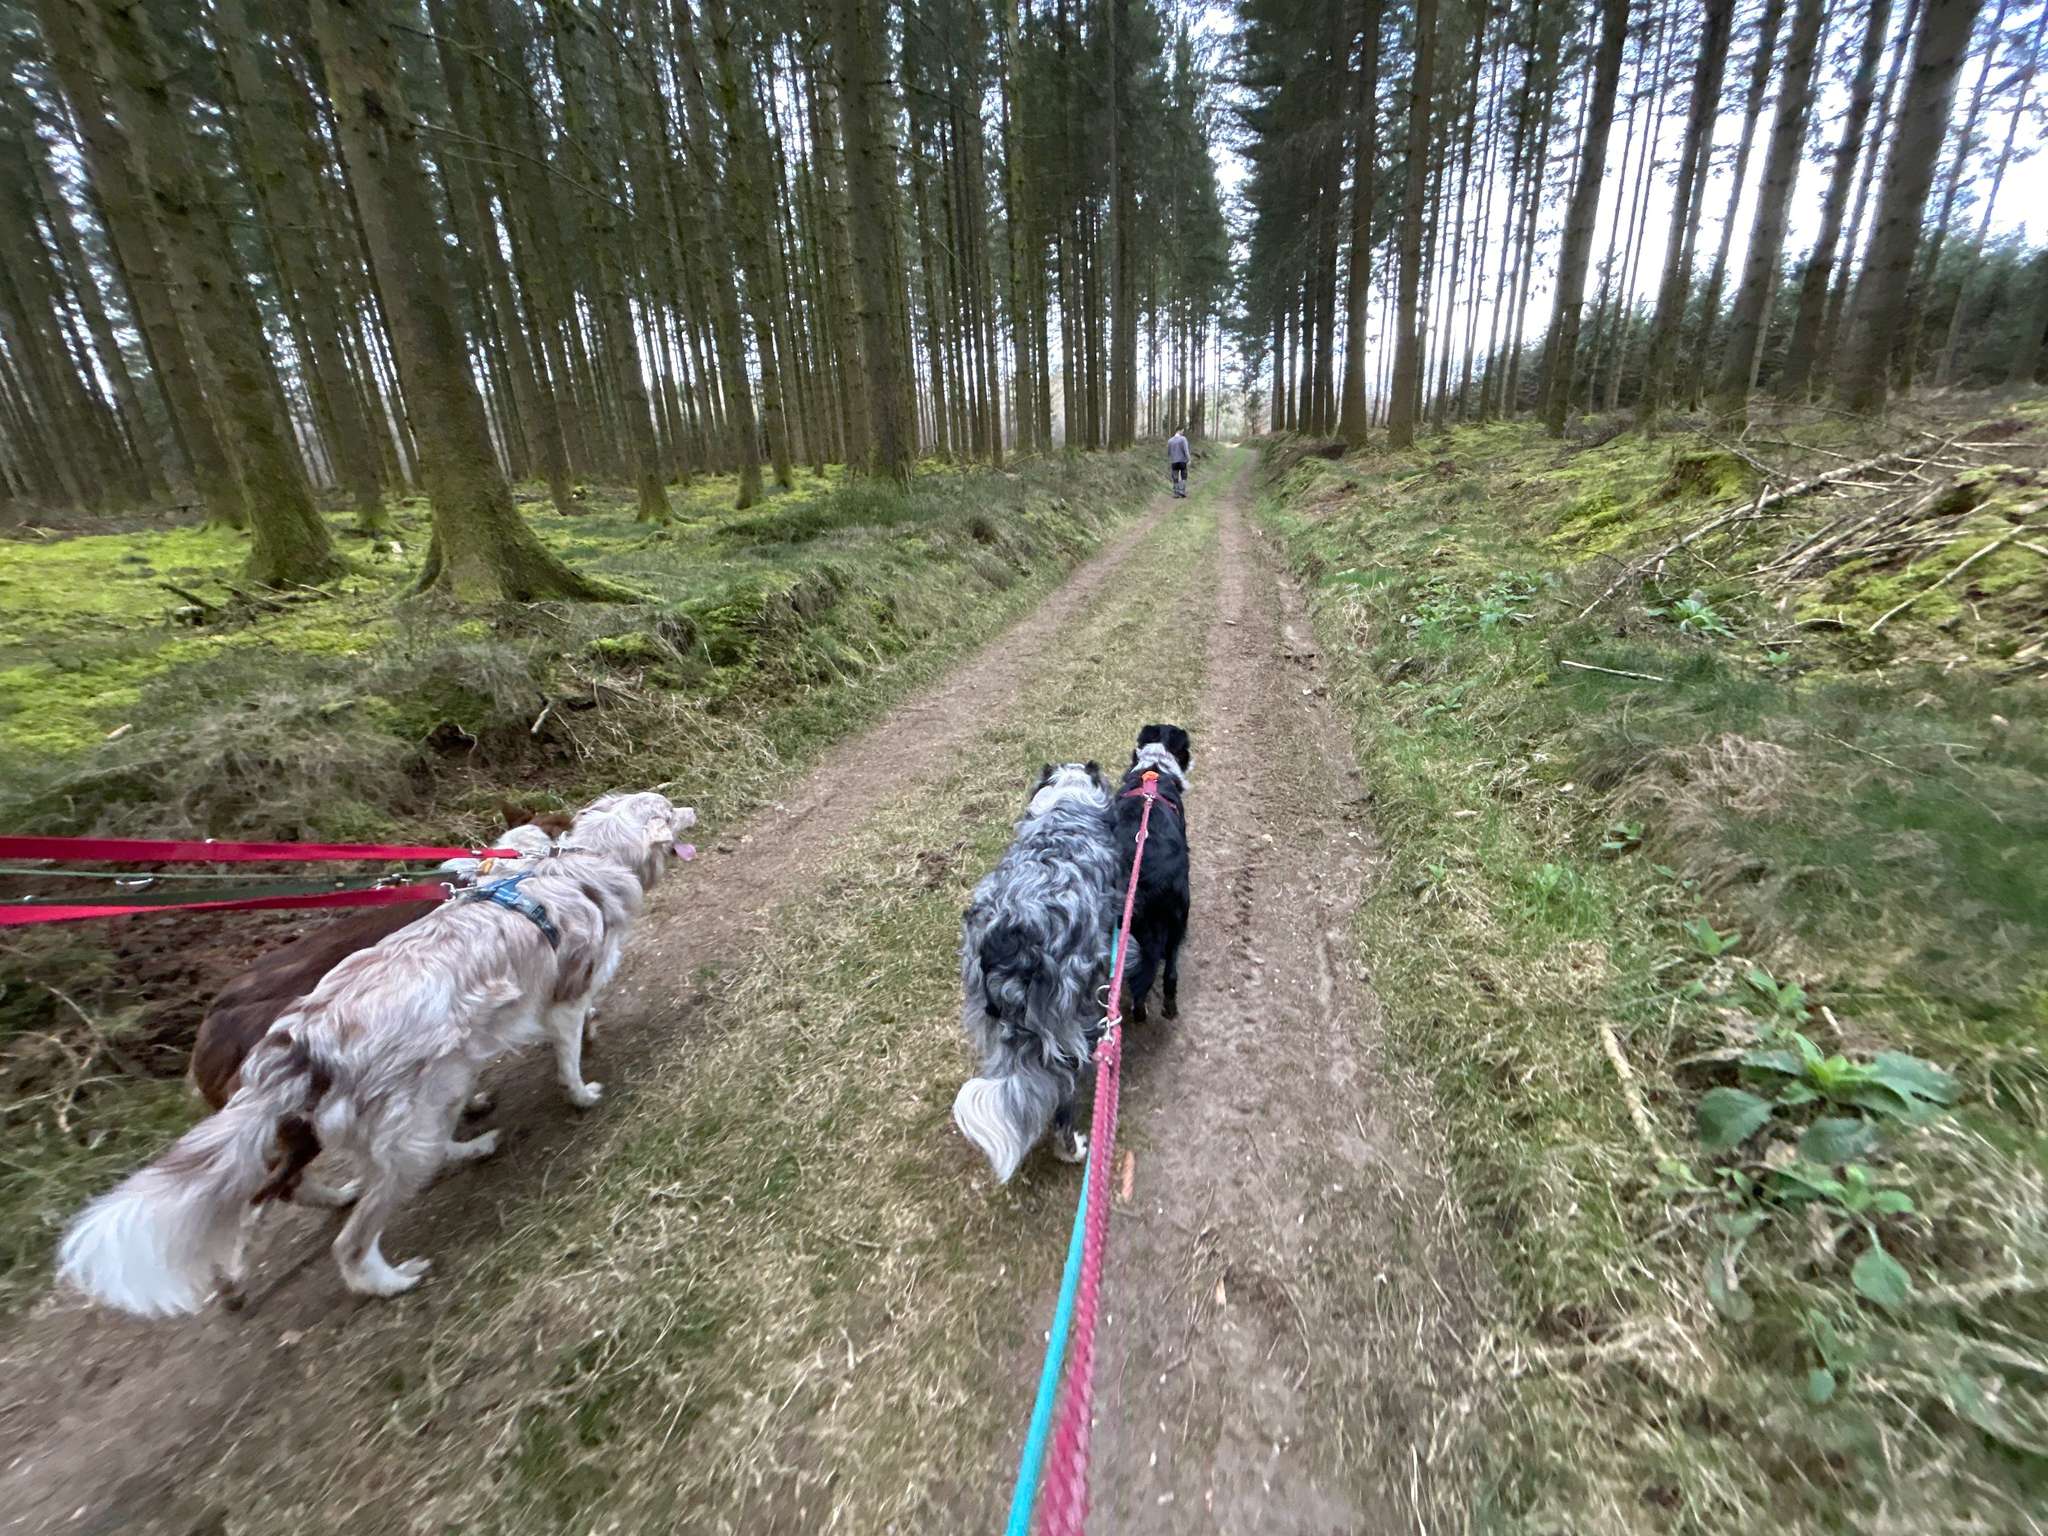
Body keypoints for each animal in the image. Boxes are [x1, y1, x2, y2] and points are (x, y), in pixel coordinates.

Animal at [953, 763, 1119, 1183]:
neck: (1064, 807)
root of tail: (1006, 939)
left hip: (995, 1025)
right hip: (1064, 1031)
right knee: (1062, 1100)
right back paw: (1072, 1150)